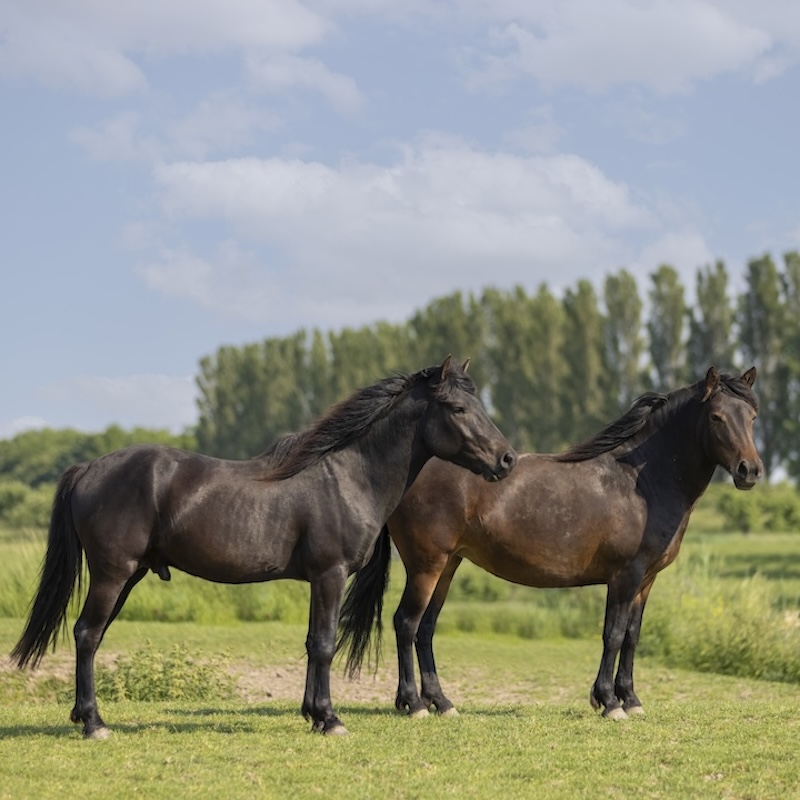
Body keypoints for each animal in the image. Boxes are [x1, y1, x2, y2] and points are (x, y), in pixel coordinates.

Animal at [11, 357, 517, 738]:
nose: (507, 459)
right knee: (86, 635)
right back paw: (95, 724)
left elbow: (312, 642)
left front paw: (313, 714)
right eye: (457, 408)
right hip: (113, 574)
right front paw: (330, 719)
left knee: (91, 637)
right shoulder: (330, 574)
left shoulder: (319, 579)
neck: (348, 477)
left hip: (126, 576)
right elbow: (325, 643)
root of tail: (89, 467)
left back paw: (84, 716)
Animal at [338, 367, 762, 720]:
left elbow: (632, 636)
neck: (640, 482)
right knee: (405, 623)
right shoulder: (625, 576)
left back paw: (441, 703)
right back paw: (414, 705)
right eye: (717, 417)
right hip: (426, 565)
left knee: (425, 628)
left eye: (752, 417)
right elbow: (613, 634)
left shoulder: (646, 580)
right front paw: (609, 703)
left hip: (448, 565)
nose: (751, 471)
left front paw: (631, 699)